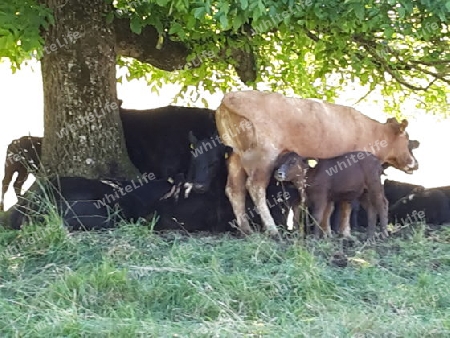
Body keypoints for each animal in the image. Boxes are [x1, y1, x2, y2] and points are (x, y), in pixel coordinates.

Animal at [214, 90, 418, 238]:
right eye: (406, 138)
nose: (415, 163)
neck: (371, 132)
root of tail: (230, 97)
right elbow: (345, 206)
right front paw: (344, 233)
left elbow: (332, 206)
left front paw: (328, 231)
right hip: (264, 157)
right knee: (255, 187)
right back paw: (271, 229)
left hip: (236, 156)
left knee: (235, 189)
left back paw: (245, 229)